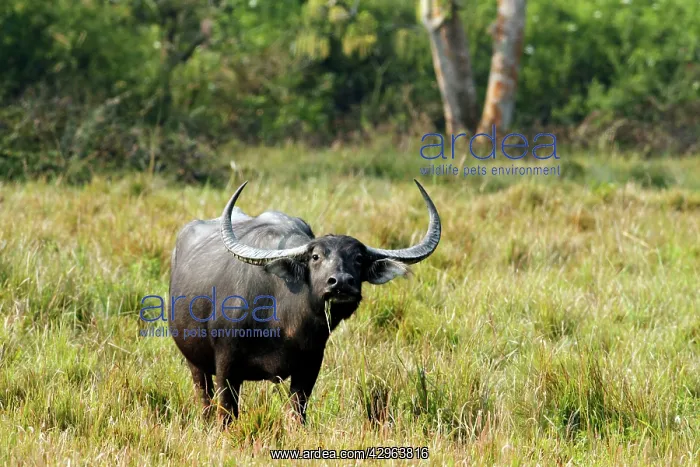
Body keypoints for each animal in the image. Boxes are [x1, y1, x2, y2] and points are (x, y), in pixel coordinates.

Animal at [168, 180, 441, 426]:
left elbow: (297, 412)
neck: (281, 320)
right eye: (315, 257)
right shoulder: (226, 365)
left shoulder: (310, 364)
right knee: (204, 400)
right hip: (195, 361)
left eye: (359, 258)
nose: (341, 282)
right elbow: (226, 414)